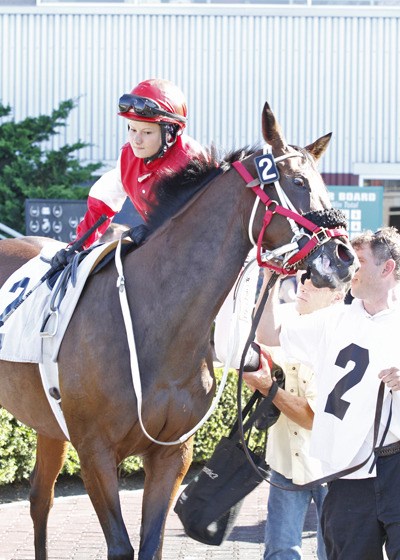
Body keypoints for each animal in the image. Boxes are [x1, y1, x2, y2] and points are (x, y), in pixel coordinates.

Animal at [0, 103, 356, 556]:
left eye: (324, 184)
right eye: (297, 182)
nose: (344, 257)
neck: (156, 325)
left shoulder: (173, 454)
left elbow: (152, 543)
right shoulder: (95, 451)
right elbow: (122, 546)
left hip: (49, 426)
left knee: (39, 498)